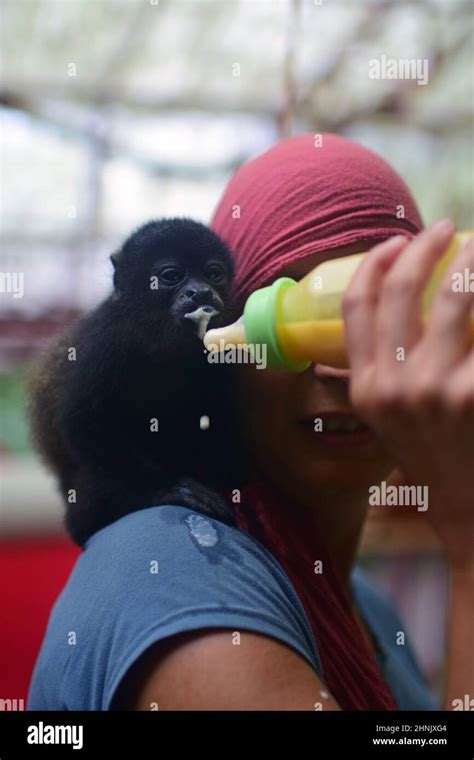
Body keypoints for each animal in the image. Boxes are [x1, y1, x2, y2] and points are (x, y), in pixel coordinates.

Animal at [27, 218, 241, 548]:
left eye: (213, 274)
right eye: (171, 276)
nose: (201, 292)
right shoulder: (106, 341)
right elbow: (83, 421)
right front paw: (163, 489)